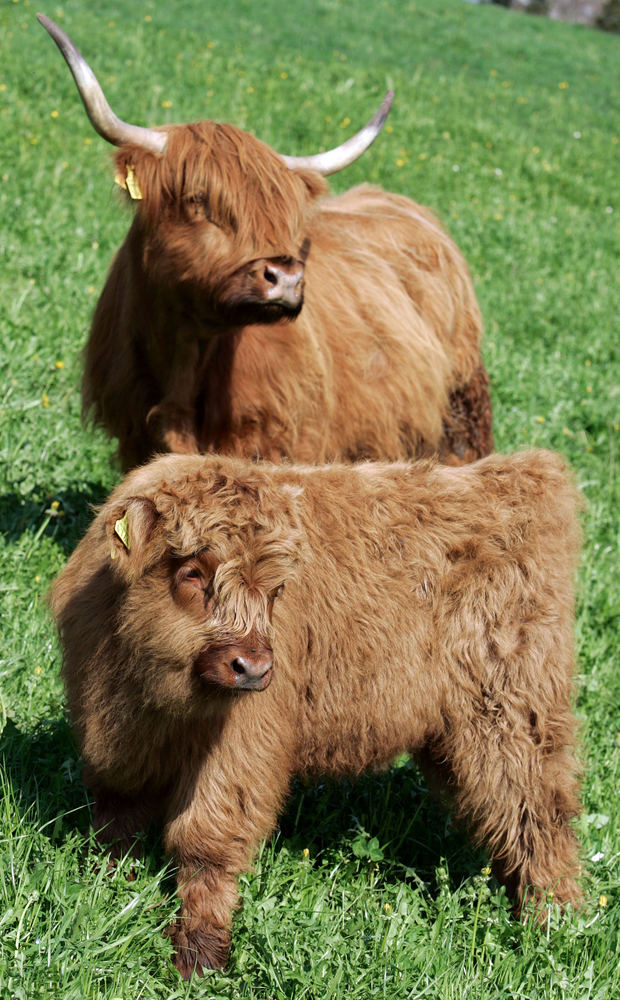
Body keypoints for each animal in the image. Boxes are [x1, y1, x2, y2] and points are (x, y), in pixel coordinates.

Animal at [40, 14, 494, 468]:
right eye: (197, 199)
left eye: (283, 215)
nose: (287, 278)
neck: (185, 360)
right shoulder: (134, 436)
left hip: (463, 407)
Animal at [50, 452, 584, 976]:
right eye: (193, 572)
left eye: (275, 589)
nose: (253, 667)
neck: (150, 691)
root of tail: (513, 473)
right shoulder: (110, 733)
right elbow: (116, 817)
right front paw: (108, 890)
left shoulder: (237, 751)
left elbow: (206, 840)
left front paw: (198, 955)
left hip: (512, 716)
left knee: (537, 814)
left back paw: (556, 926)